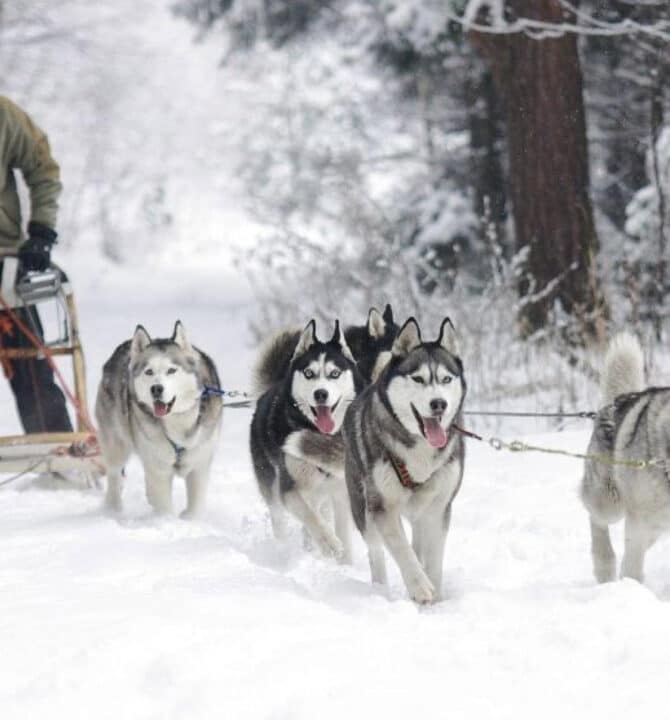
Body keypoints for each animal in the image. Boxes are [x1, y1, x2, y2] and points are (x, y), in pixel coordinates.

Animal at [95, 322, 223, 516]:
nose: (156, 389)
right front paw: (166, 520)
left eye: (171, 370)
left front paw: (190, 519)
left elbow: (195, 506)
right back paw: (113, 509)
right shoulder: (158, 468)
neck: (178, 421)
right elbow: (164, 506)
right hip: (116, 445)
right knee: (114, 476)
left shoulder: (199, 465)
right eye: (149, 372)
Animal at [252, 320, 364, 564]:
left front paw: (346, 565)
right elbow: (310, 517)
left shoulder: (341, 493)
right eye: (309, 373)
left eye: (334, 373)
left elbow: (343, 532)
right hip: (273, 487)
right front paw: (329, 543)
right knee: (283, 519)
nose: (320, 394)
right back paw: (285, 548)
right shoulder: (290, 488)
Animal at [344, 318, 464, 604]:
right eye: (418, 378)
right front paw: (419, 586)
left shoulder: (439, 507)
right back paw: (380, 588)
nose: (439, 404)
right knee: (377, 551)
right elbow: (400, 548)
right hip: (363, 507)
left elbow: (433, 558)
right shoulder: (382, 507)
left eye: (446, 379)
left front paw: (436, 595)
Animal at [580, 334, 670, 584]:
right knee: (596, 520)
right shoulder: (639, 520)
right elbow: (632, 565)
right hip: (610, 502)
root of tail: (616, 401)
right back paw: (605, 567)